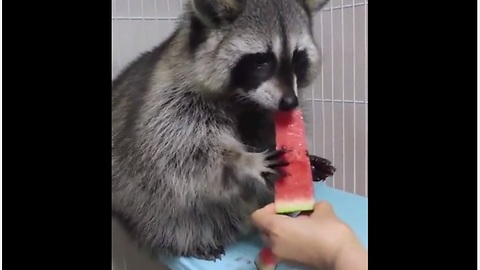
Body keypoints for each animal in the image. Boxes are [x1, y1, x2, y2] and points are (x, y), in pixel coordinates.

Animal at [112, 0, 336, 260]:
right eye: (261, 61)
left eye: (298, 58)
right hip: (138, 199)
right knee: (170, 216)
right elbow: (186, 156)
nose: (290, 102)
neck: (243, 98)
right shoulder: (171, 103)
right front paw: (245, 162)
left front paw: (307, 158)